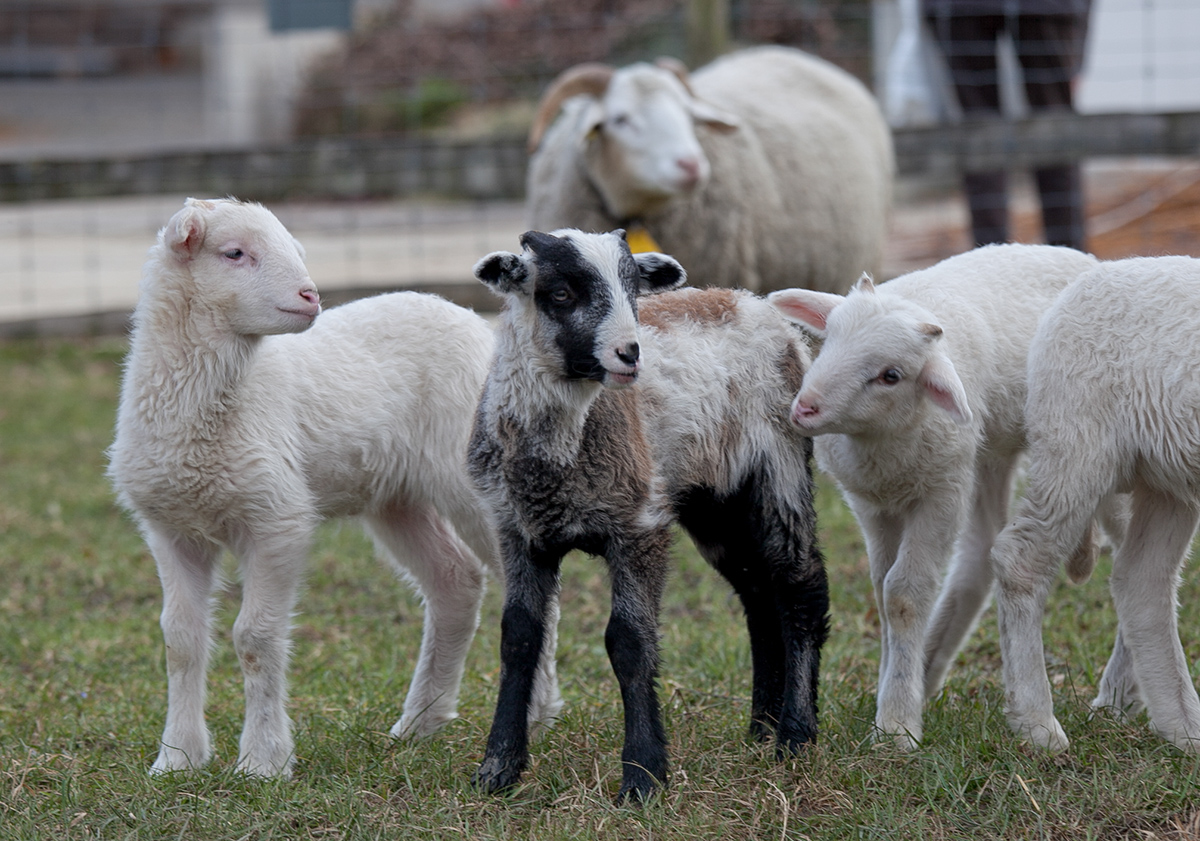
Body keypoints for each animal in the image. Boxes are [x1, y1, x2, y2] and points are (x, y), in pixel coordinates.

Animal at [107, 197, 562, 778]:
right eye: (235, 253)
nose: (311, 296)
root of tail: (466, 316)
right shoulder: (172, 528)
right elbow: (180, 640)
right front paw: (177, 759)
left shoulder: (276, 519)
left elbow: (255, 638)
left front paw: (262, 762)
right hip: (397, 497)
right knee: (454, 581)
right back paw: (421, 722)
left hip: (477, 481)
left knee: (531, 590)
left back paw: (535, 714)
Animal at [467, 228, 829, 802]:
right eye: (561, 293)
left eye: (633, 288)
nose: (630, 352)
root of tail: (753, 302)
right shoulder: (517, 529)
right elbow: (518, 638)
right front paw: (498, 767)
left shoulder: (639, 527)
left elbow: (629, 642)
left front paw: (642, 776)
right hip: (713, 501)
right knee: (757, 595)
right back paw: (760, 726)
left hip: (780, 467)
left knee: (800, 587)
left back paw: (795, 735)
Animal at [768, 243, 1102, 750]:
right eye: (829, 338)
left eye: (890, 375)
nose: (805, 409)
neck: (882, 445)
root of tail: (1082, 255)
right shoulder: (874, 505)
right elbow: (882, 589)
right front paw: (893, 689)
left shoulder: (940, 494)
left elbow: (905, 595)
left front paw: (897, 725)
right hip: (986, 452)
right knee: (981, 552)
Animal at [991, 255, 1200, 754]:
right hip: (1077, 442)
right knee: (1020, 561)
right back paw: (1037, 724)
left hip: (1168, 472)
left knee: (1141, 580)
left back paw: (1183, 728)